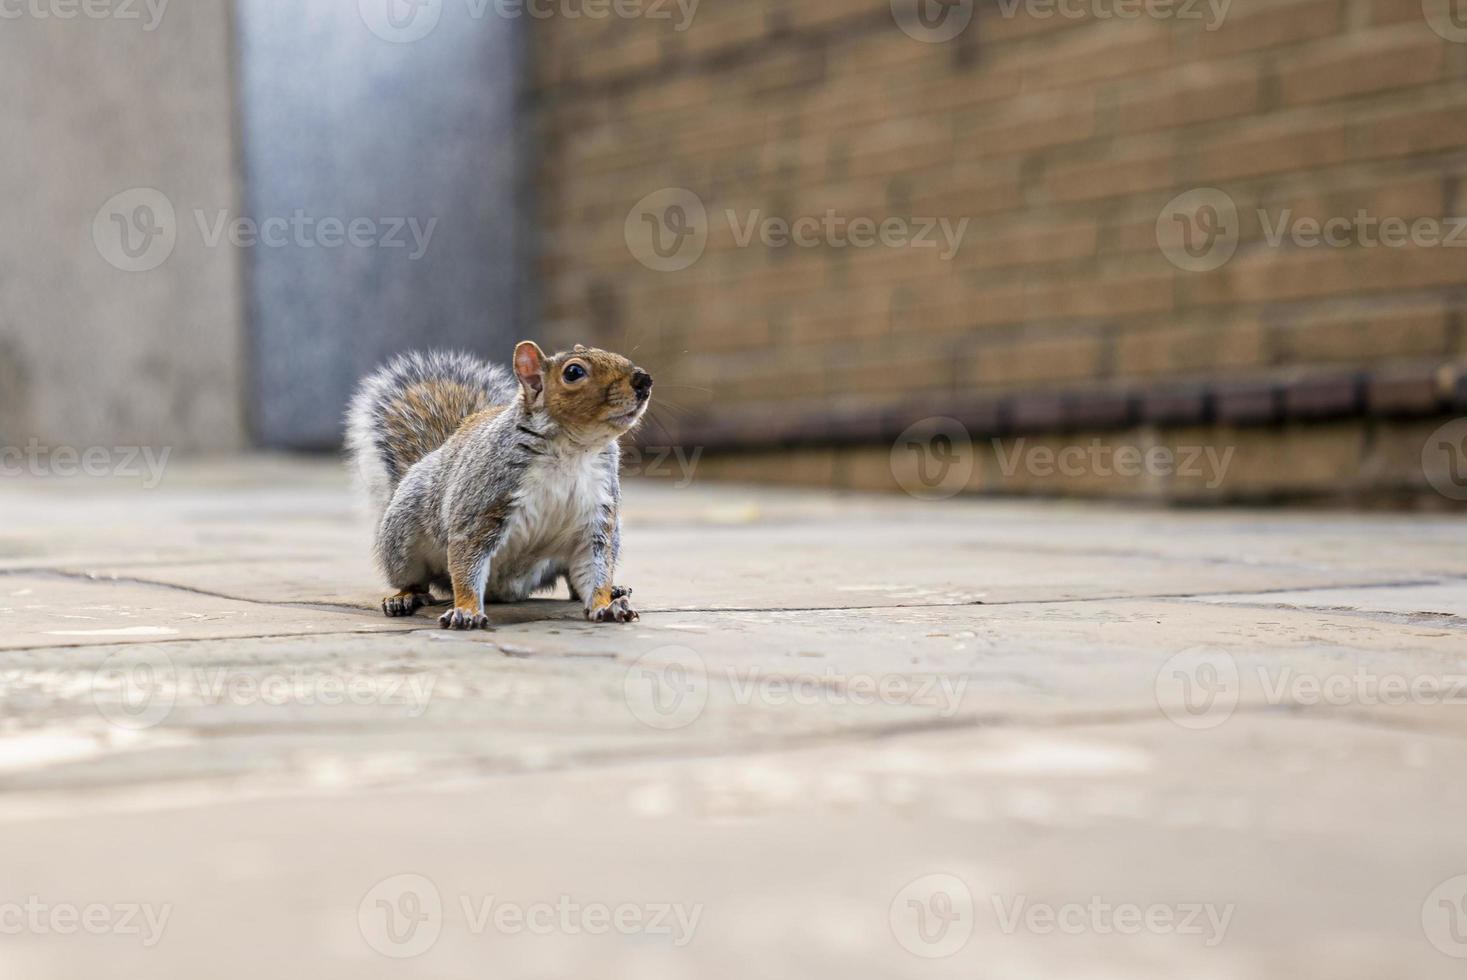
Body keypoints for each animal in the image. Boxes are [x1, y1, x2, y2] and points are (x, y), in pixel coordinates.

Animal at [346, 340, 651, 630]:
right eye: (573, 372)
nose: (643, 380)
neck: (573, 451)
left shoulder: (597, 516)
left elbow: (596, 567)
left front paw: (604, 604)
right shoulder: (482, 506)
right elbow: (467, 562)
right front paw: (466, 611)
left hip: (612, 533)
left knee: (574, 578)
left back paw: (614, 591)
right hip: (401, 535)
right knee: (414, 578)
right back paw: (405, 597)